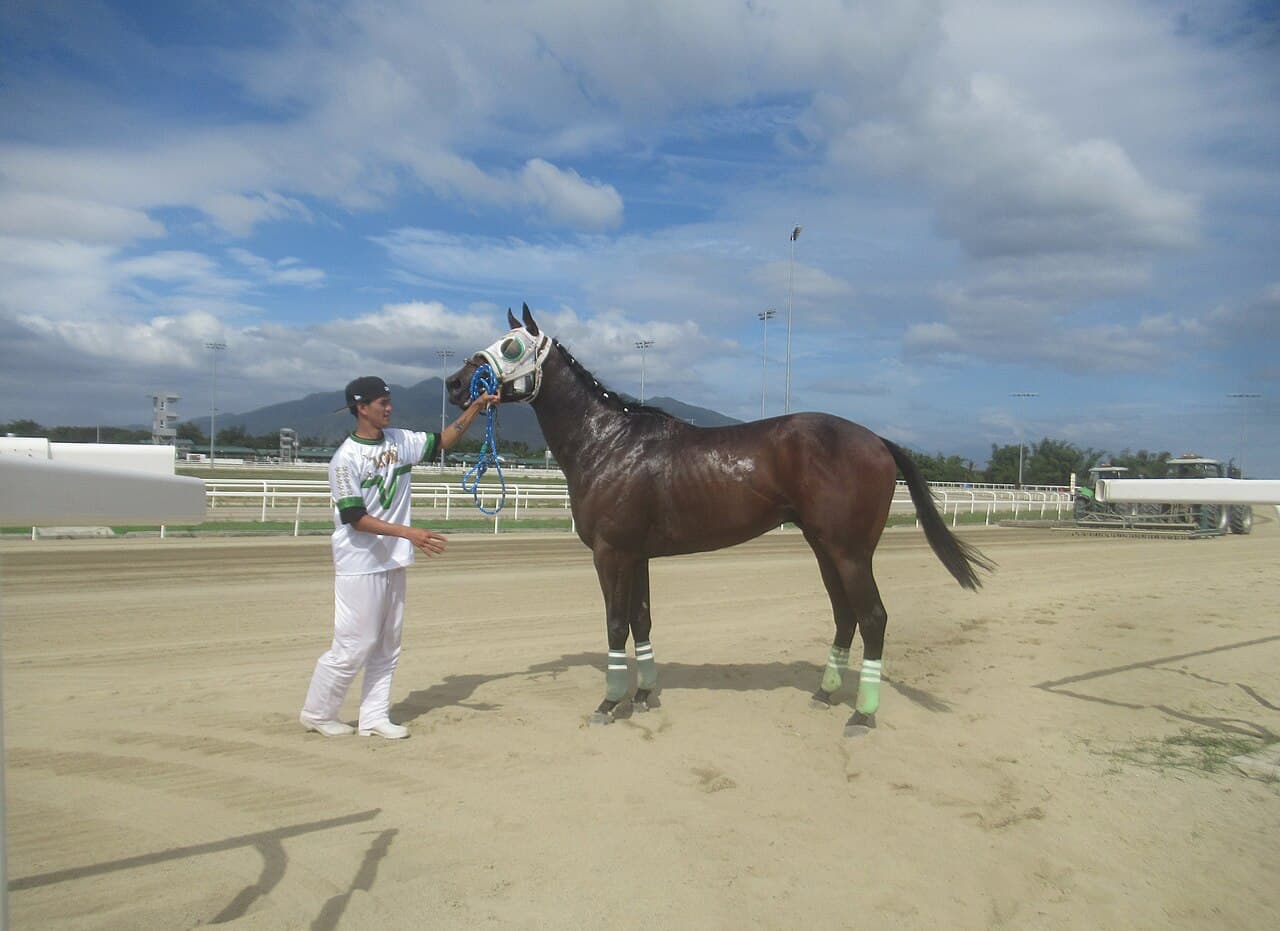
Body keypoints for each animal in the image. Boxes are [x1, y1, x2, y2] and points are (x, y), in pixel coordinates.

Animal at [446, 304, 995, 736]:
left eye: (511, 346)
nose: (454, 384)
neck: (609, 444)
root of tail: (877, 439)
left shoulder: (611, 553)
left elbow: (616, 623)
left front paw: (609, 701)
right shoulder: (638, 555)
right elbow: (642, 619)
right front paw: (644, 695)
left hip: (851, 551)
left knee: (874, 618)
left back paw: (861, 714)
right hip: (825, 548)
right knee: (845, 615)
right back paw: (825, 692)